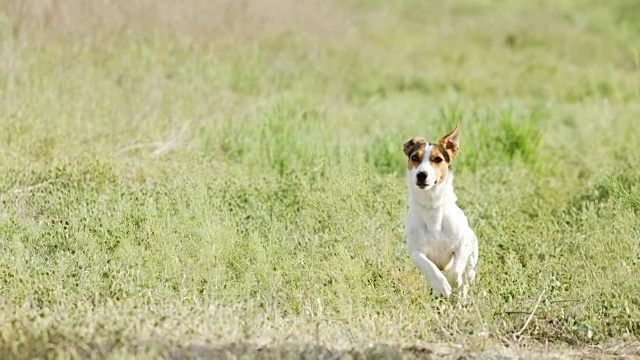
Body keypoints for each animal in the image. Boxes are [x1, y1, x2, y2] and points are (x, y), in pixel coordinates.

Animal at [402, 122, 478, 300]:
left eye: (437, 159)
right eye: (414, 157)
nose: (421, 175)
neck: (432, 207)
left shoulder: (462, 244)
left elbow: (455, 271)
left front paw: (452, 281)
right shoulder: (416, 252)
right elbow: (430, 267)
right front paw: (441, 285)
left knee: (466, 277)